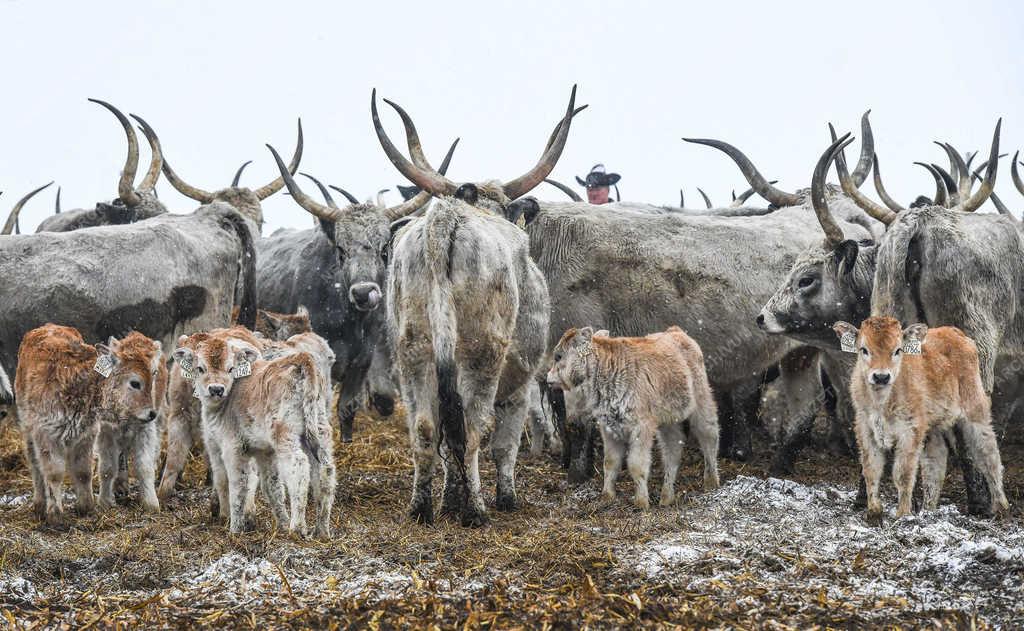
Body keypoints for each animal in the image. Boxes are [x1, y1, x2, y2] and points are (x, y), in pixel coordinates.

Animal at [374, 85, 577, 528]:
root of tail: (444, 220)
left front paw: (451, 499)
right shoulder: (521, 382)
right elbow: (505, 444)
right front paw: (504, 497)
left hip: (413, 353)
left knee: (425, 429)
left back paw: (422, 508)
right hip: (483, 355)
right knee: (474, 429)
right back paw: (477, 511)